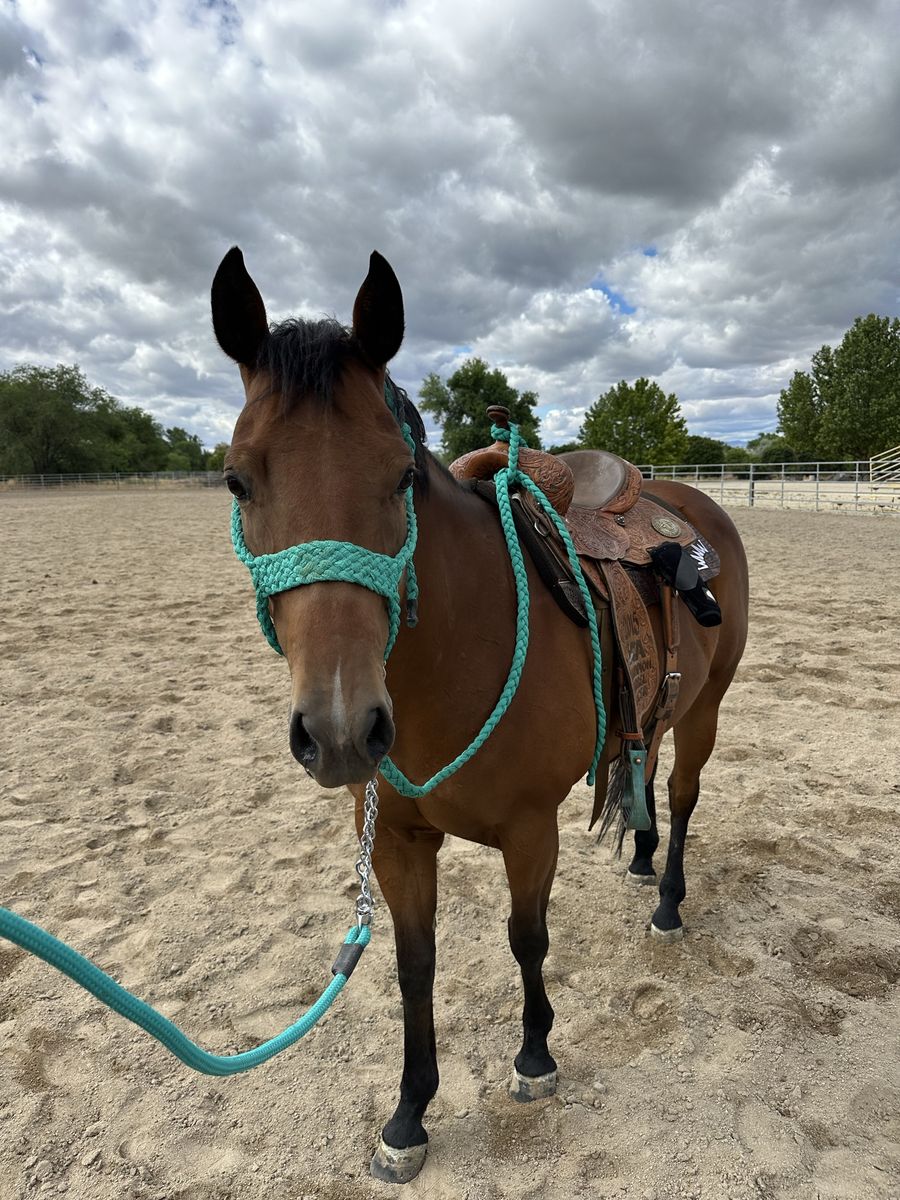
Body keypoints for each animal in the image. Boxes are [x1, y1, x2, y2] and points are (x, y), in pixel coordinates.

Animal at [211, 247, 750, 1183]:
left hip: (707, 710)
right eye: (239, 478)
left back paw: (669, 900)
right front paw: (408, 1115)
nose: (342, 731)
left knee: (682, 797)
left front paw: (535, 1056)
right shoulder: (394, 840)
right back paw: (643, 859)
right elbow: (413, 965)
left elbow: (526, 939)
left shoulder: (533, 829)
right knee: (643, 764)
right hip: (654, 712)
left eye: (399, 474)